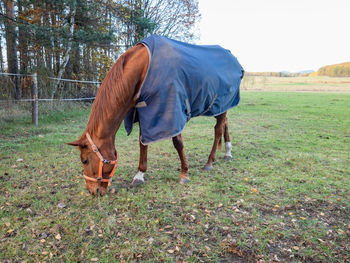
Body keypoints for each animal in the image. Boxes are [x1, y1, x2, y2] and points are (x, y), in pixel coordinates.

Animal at [67, 34, 243, 196]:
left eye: (85, 160)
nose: (92, 191)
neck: (144, 68)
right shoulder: (144, 111)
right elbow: (142, 143)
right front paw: (139, 175)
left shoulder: (171, 111)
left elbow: (178, 143)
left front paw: (184, 173)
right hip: (220, 106)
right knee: (225, 125)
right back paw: (228, 153)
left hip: (221, 103)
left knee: (218, 130)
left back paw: (209, 162)